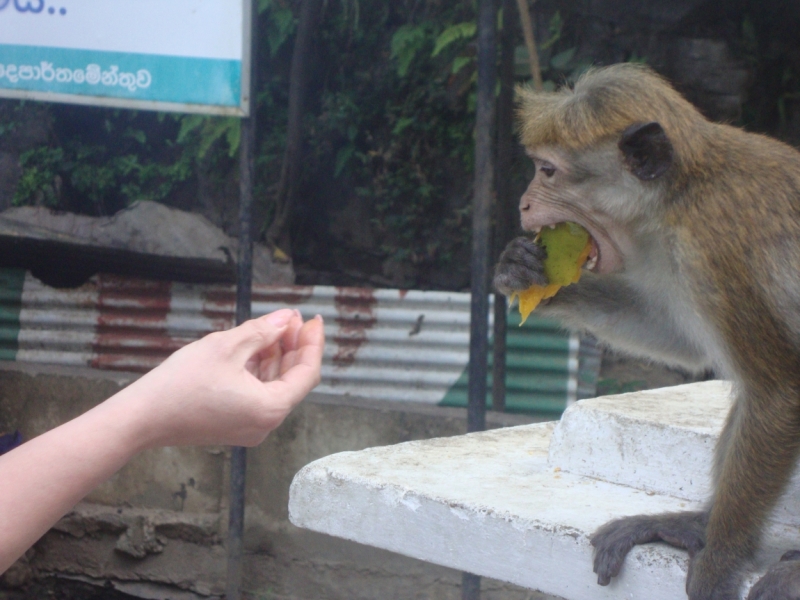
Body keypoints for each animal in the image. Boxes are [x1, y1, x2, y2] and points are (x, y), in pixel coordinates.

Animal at [494, 62, 800, 600]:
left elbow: (777, 392)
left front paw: (722, 558)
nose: (524, 204)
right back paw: (696, 525)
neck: (681, 193)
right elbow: (679, 338)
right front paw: (527, 275)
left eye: (547, 170)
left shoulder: (713, 248)